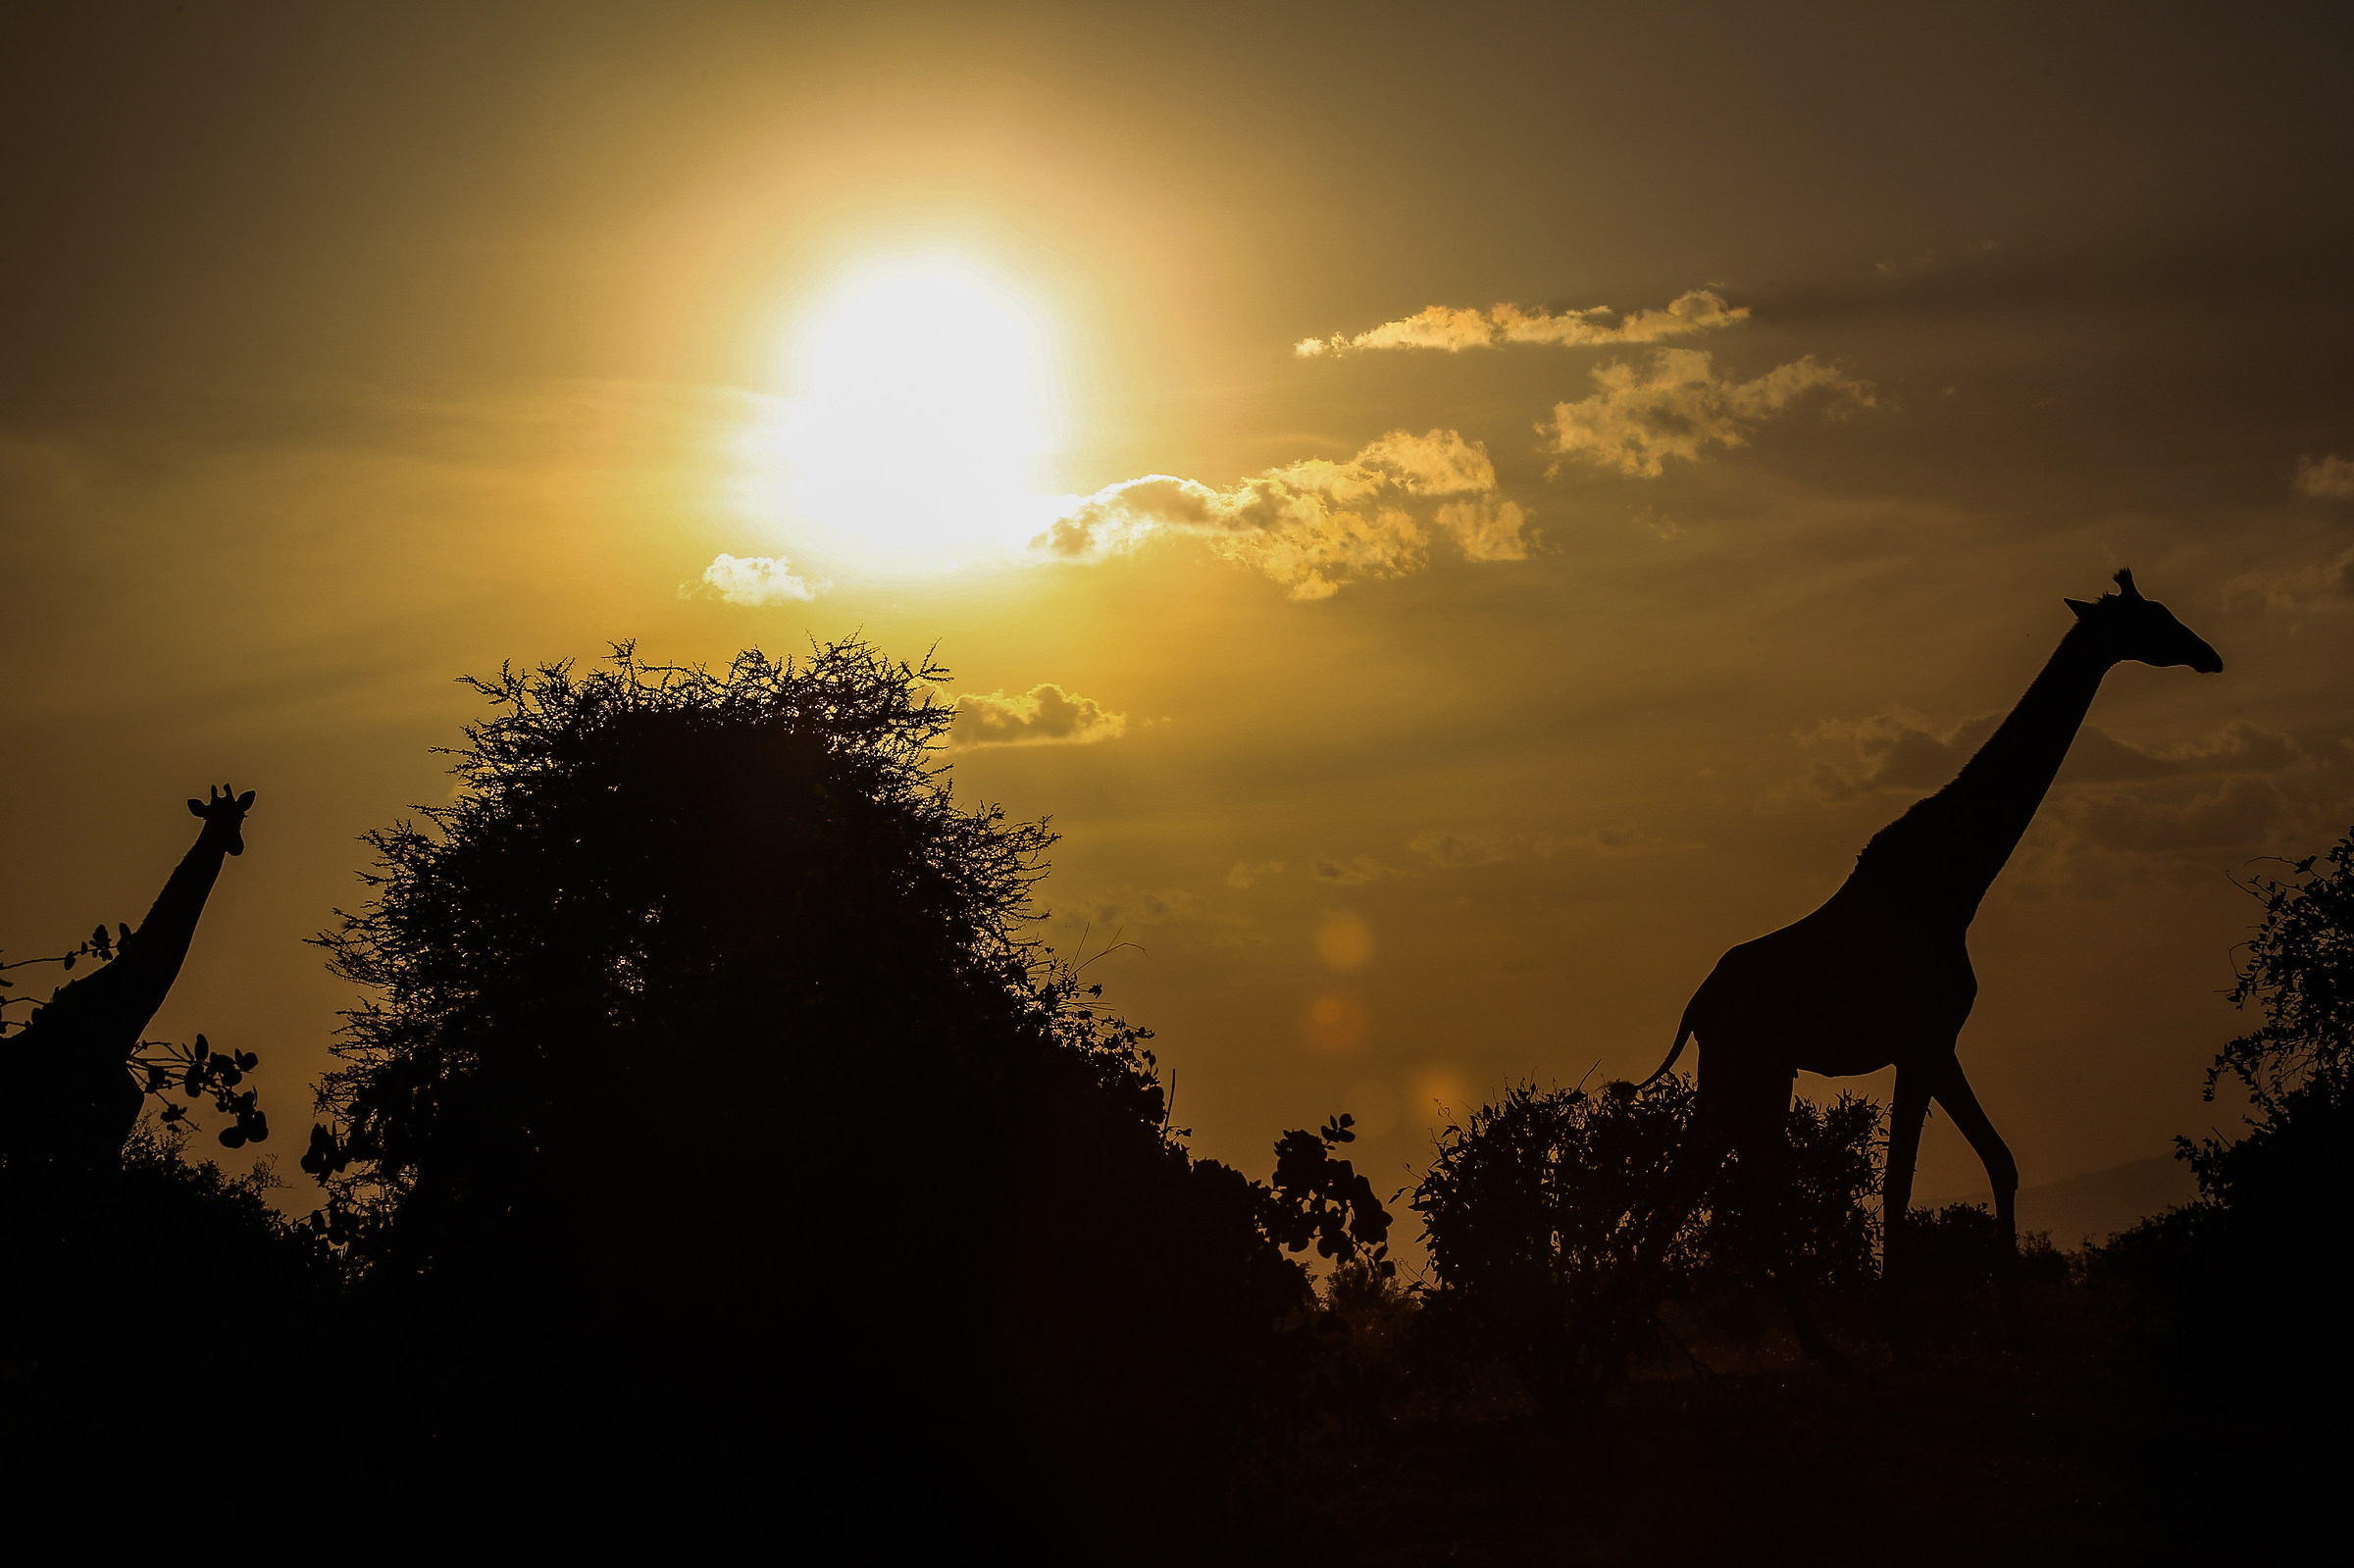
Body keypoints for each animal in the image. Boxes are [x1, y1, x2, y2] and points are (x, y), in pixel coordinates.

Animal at [1635, 571, 2221, 1363]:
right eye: (2151, 617)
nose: (2208, 654)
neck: (1955, 884)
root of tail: (1696, 1005)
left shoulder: (1941, 1042)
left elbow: (1998, 1160)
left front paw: (2015, 1327)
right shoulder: (1920, 1041)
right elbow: (1901, 1182)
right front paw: (1898, 1334)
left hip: (1743, 1073)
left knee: (1700, 1184)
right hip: (1746, 1068)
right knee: (1725, 1189)